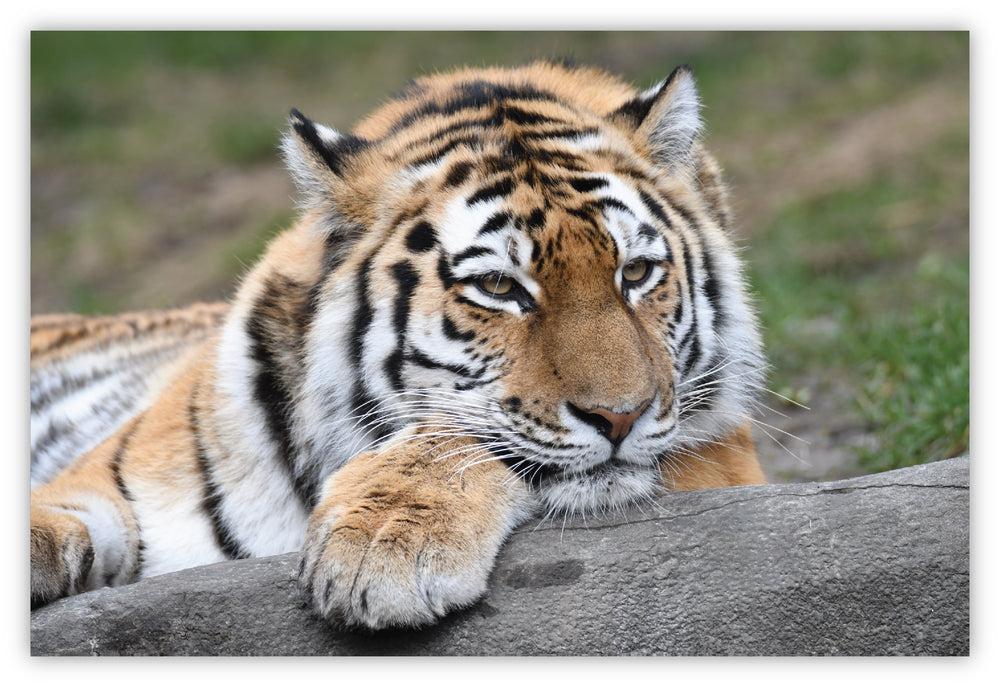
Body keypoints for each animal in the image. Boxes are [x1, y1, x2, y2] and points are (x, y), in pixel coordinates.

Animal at [30, 61, 767, 630]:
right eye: (499, 286)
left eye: (635, 273)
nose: (621, 417)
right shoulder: (104, 480)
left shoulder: (724, 460)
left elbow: (454, 432)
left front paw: (380, 544)